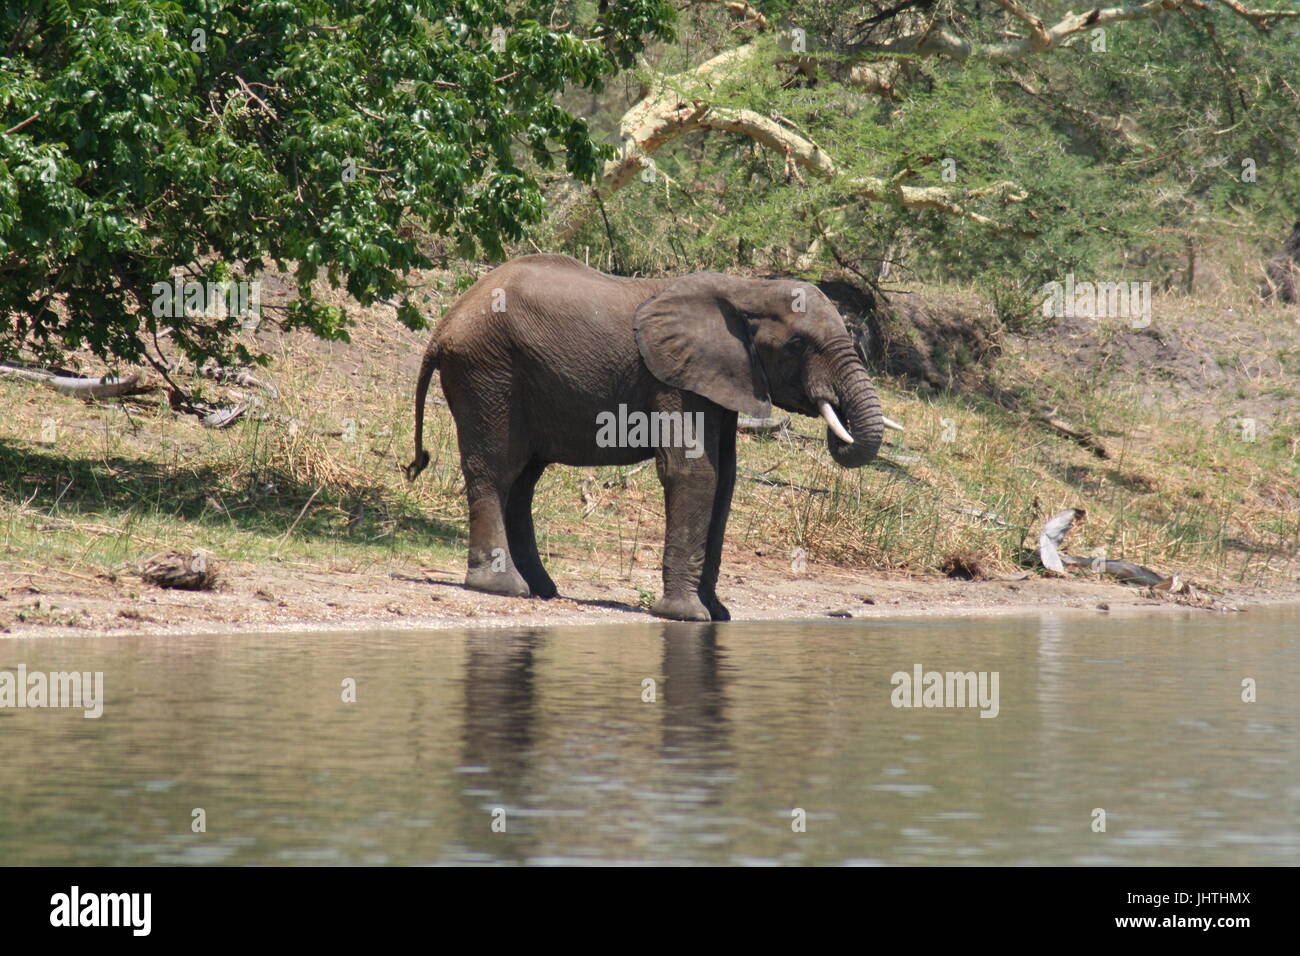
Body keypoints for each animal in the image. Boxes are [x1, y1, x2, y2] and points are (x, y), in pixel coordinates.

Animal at [405, 253, 897, 622]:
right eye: (797, 345)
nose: (835, 419)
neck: (745, 289)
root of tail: (444, 323)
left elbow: (725, 480)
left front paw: (717, 614)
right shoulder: (672, 378)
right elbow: (694, 473)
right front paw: (686, 615)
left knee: (523, 479)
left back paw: (544, 590)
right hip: (487, 370)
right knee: (497, 468)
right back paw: (503, 588)